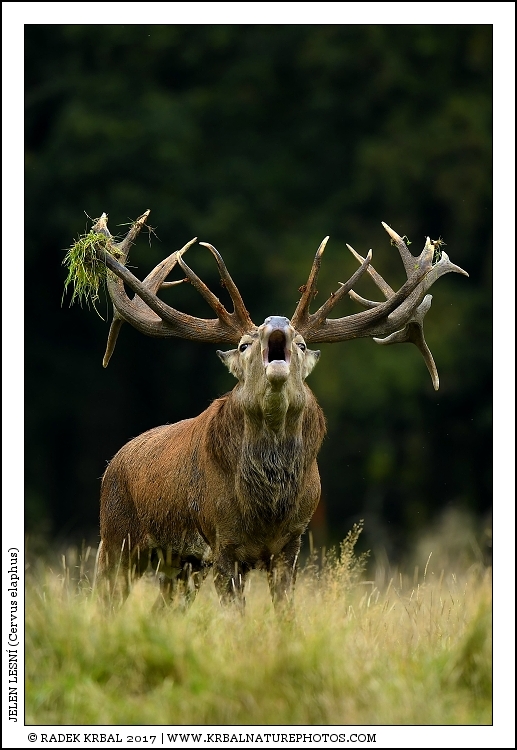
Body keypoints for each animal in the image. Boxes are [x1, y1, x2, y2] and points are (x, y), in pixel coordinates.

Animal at [86, 210, 467, 612]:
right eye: (242, 345)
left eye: (302, 344)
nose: (278, 322)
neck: (267, 508)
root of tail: (113, 464)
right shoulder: (220, 540)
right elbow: (235, 614)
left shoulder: (292, 541)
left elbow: (285, 611)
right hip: (116, 538)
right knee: (106, 598)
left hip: (179, 564)